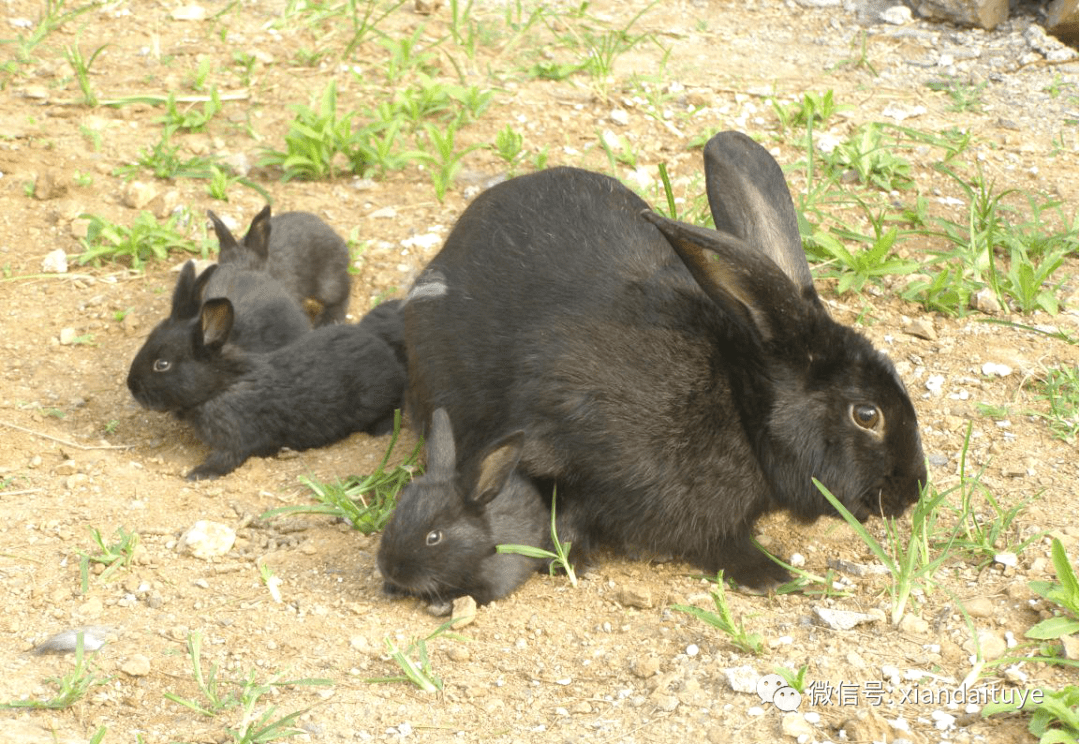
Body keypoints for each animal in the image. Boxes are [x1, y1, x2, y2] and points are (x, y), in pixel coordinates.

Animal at [126, 264, 406, 479]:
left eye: (162, 364)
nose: (131, 385)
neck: (222, 385)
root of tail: (383, 349)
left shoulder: (234, 438)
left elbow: (226, 459)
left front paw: (199, 473)